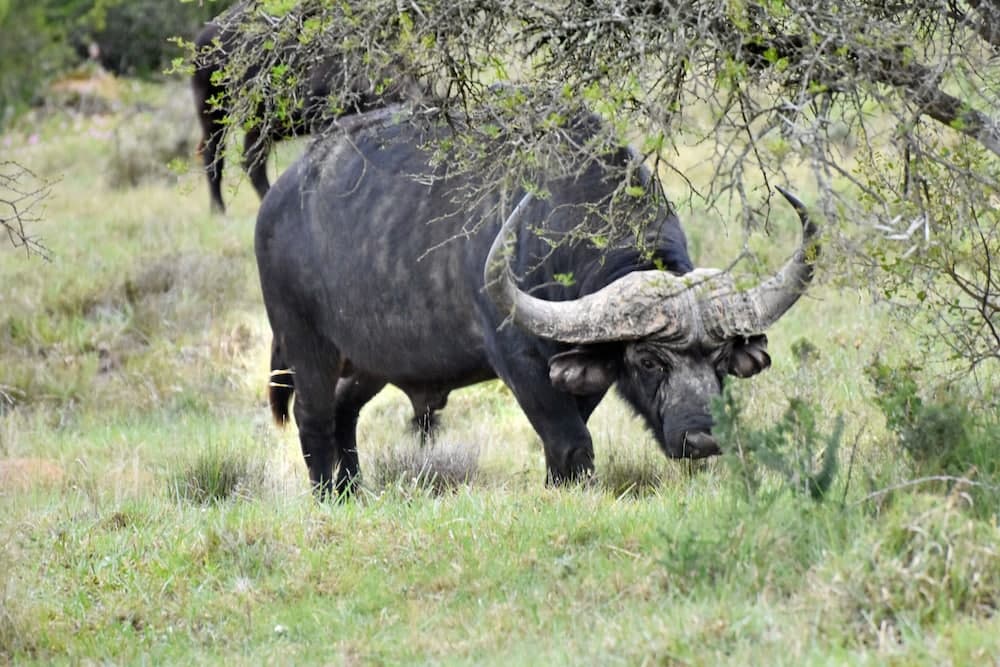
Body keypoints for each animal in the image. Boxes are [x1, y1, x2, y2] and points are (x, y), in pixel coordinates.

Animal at [254, 108, 820, 497]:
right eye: (648, 360)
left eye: (721, 359)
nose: (702, 439)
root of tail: (277, 200)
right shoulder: (518, 361)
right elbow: (571, 443)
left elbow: (568, 438)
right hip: (305, 343)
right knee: (313, 415)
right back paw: (328, 497)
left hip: (372, 359)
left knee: (345, 409)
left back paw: (354, 493)